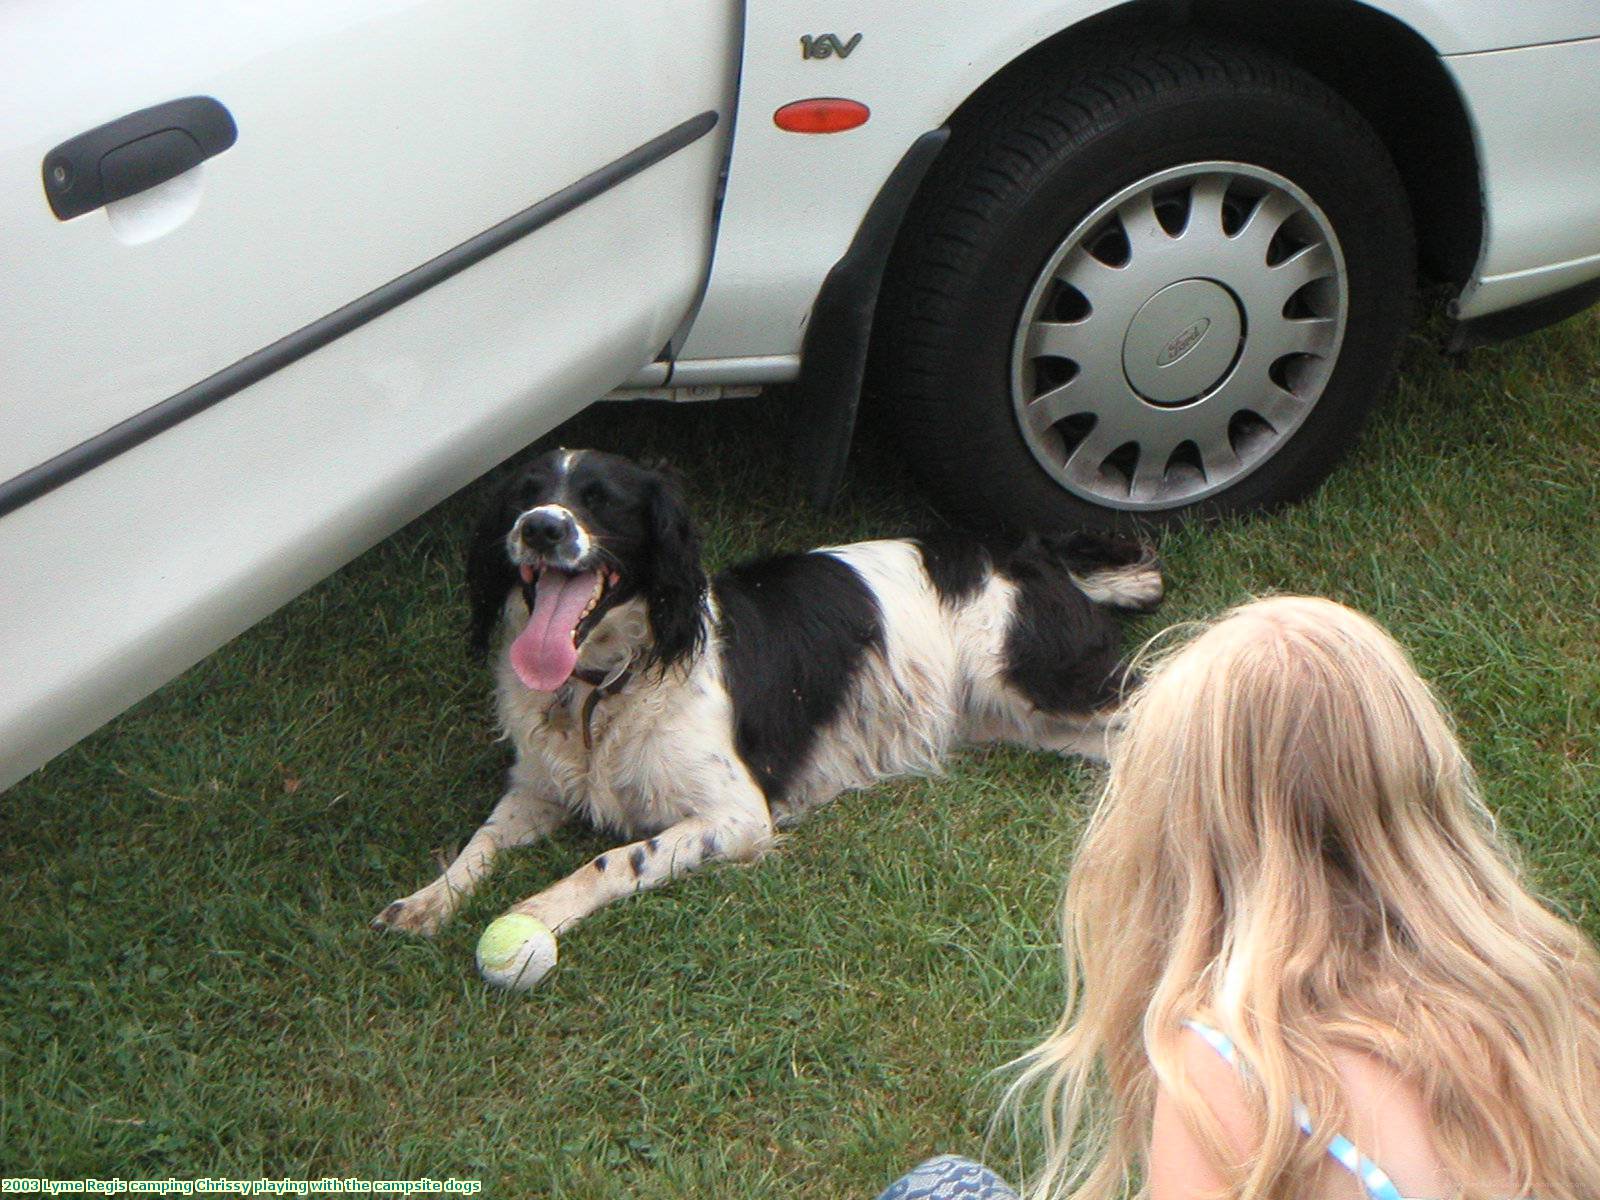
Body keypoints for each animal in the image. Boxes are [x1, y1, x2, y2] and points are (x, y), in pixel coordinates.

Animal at [371, 448, 1164, 992]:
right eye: (524, 496)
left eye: (601, 502)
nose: (539, 529)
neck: (599, 689)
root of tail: (1031, 548)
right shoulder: (537, 788)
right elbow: (479, 842)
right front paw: (428, 901)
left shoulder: (737, 814)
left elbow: (613, 858)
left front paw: (540, 911)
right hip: (1013, 717)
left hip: (1032, 677)